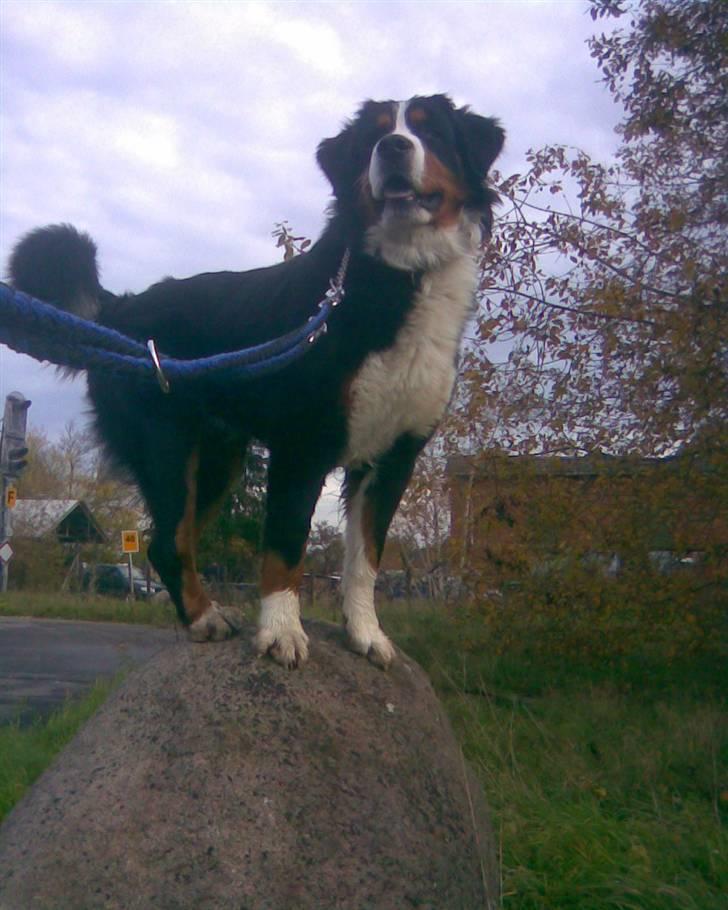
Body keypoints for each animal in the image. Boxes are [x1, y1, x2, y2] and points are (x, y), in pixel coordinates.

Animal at [8, 96, 504, 668]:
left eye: (431, 132)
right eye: (374, 138)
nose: (394, 147)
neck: (399, 276)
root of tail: (122, 309)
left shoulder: (393, 456)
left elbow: (366, 559)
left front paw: (366, 635)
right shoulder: (302, 444)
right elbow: (286, 547)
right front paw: (282, 632)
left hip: (220, 458)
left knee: (170, 541)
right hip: (166, 445)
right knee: (169, 541)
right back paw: (206, 618)